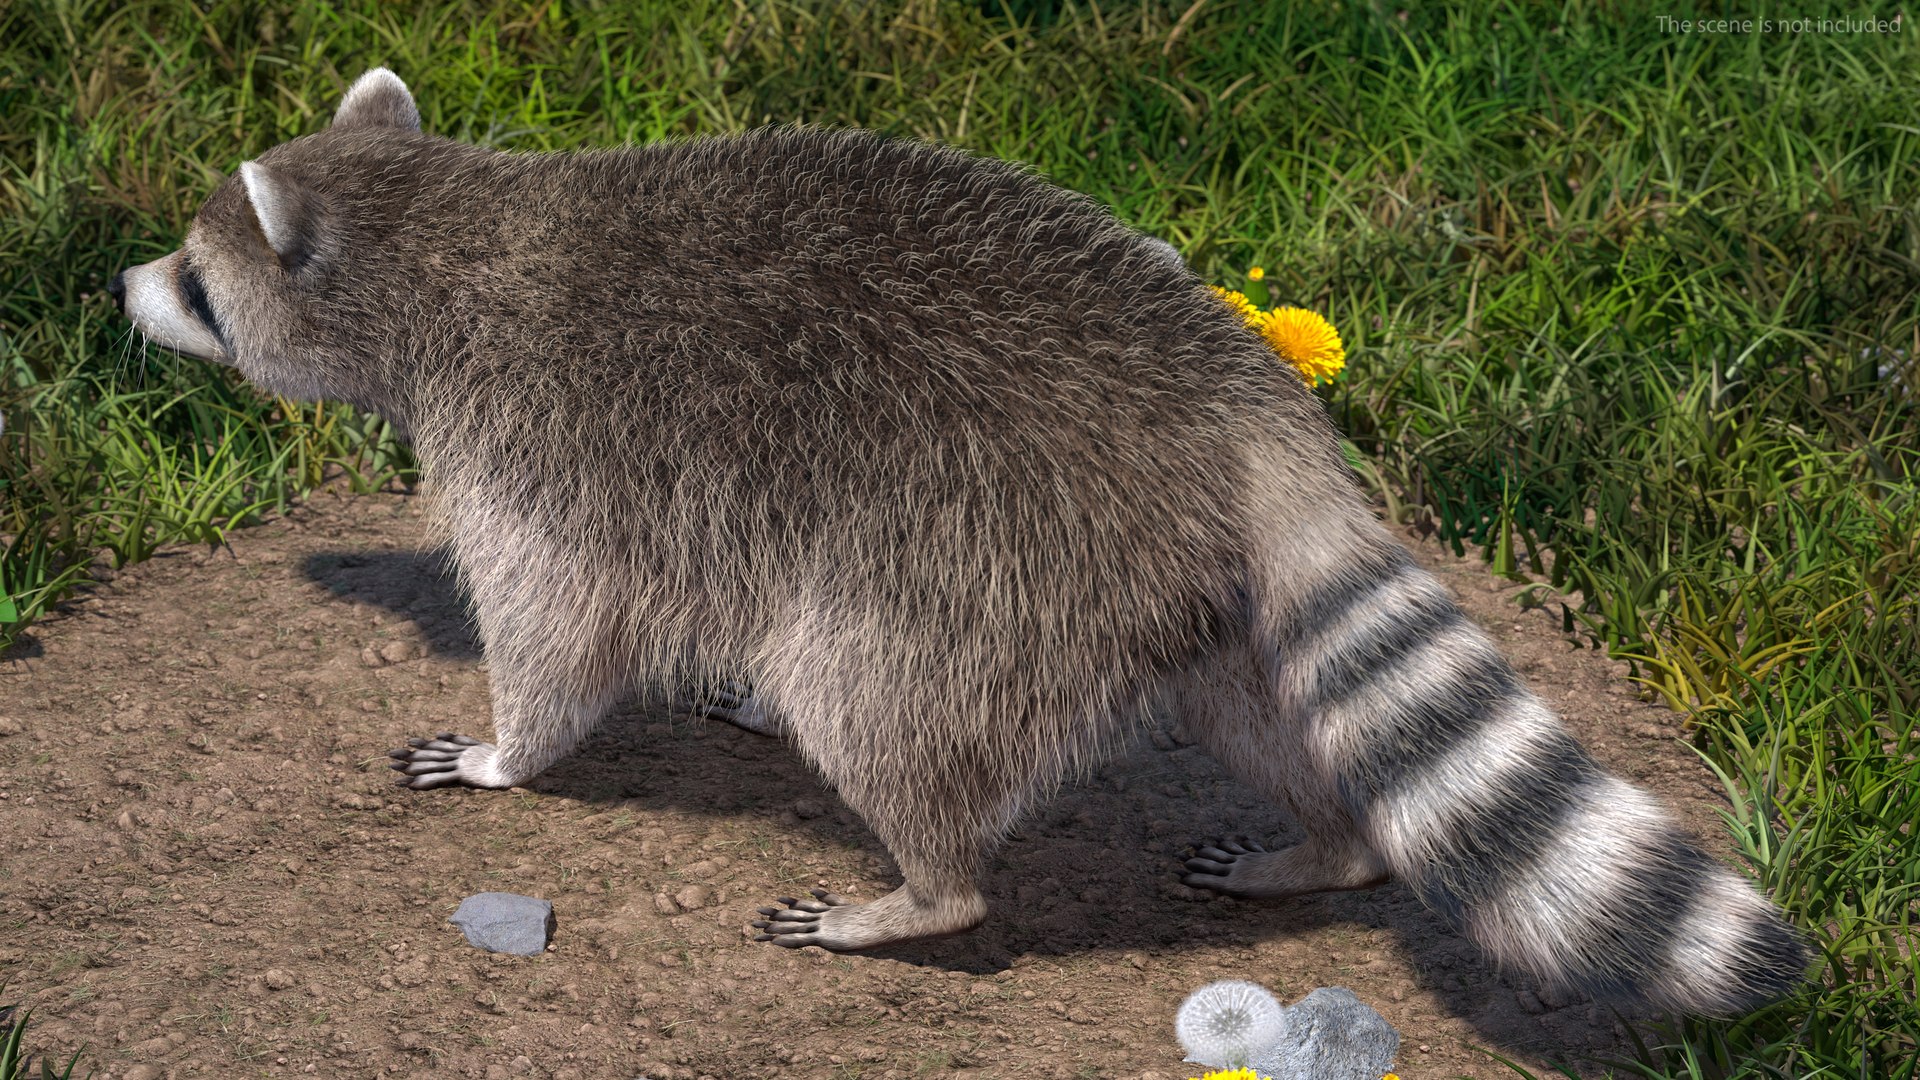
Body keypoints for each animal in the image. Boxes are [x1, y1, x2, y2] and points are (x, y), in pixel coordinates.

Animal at [110, 69, 1805, 1014]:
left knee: (874, 694)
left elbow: (562, 624)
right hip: (1175, 588)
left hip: (994, 552)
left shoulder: (543, 432)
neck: (456, 230)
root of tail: (1240, 401)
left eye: (195, 279)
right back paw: (1329, 836)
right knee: (1264, 715)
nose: (116, 290)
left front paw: (505, 750)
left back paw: (923, 886)